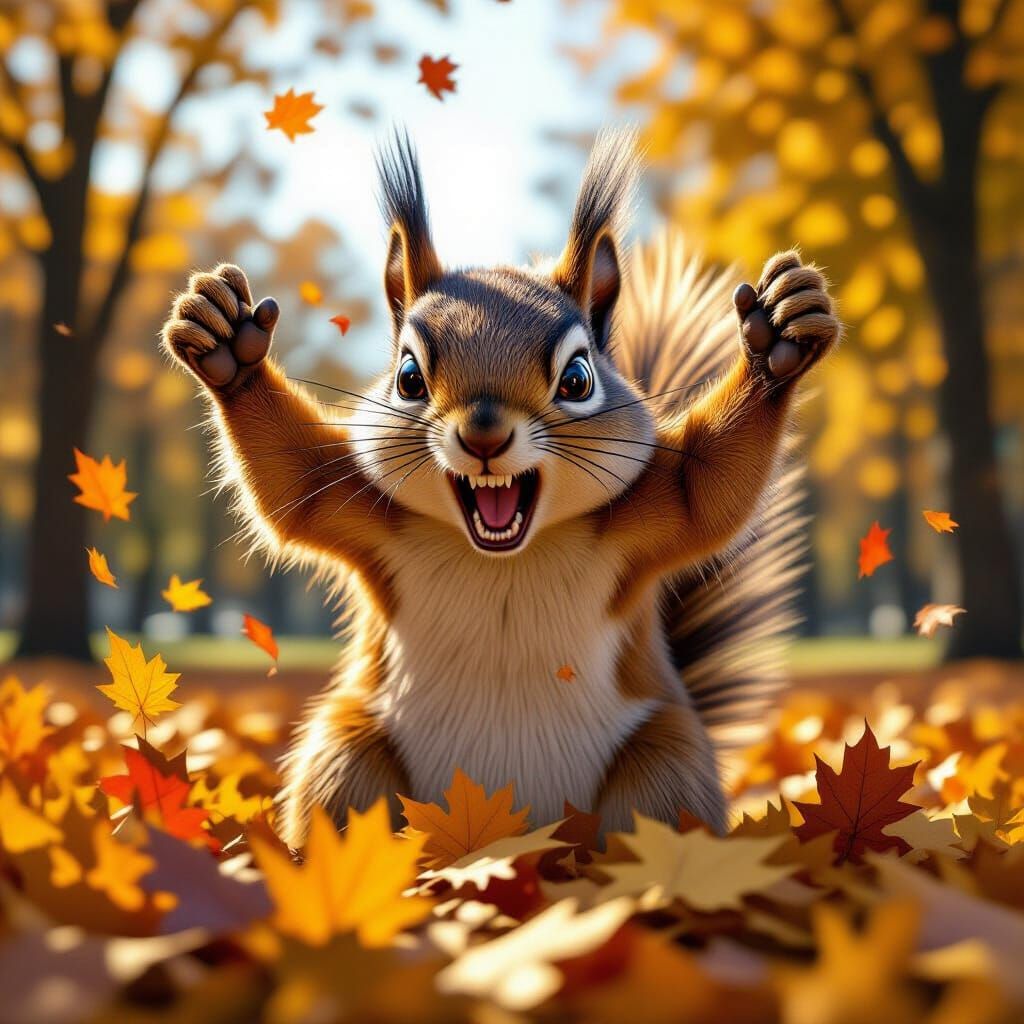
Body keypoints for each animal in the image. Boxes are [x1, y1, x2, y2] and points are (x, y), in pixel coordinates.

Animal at [161, 130, 840, 845]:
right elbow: (295, 481)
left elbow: (708, 491)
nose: (484, 434)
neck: (502, 558)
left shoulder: (644, 517)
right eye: (408, 377)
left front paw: (778, 338)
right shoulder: (366, 515)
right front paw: (226, 344)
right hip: (346, 754)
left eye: (578, 379)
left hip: (665, 767)